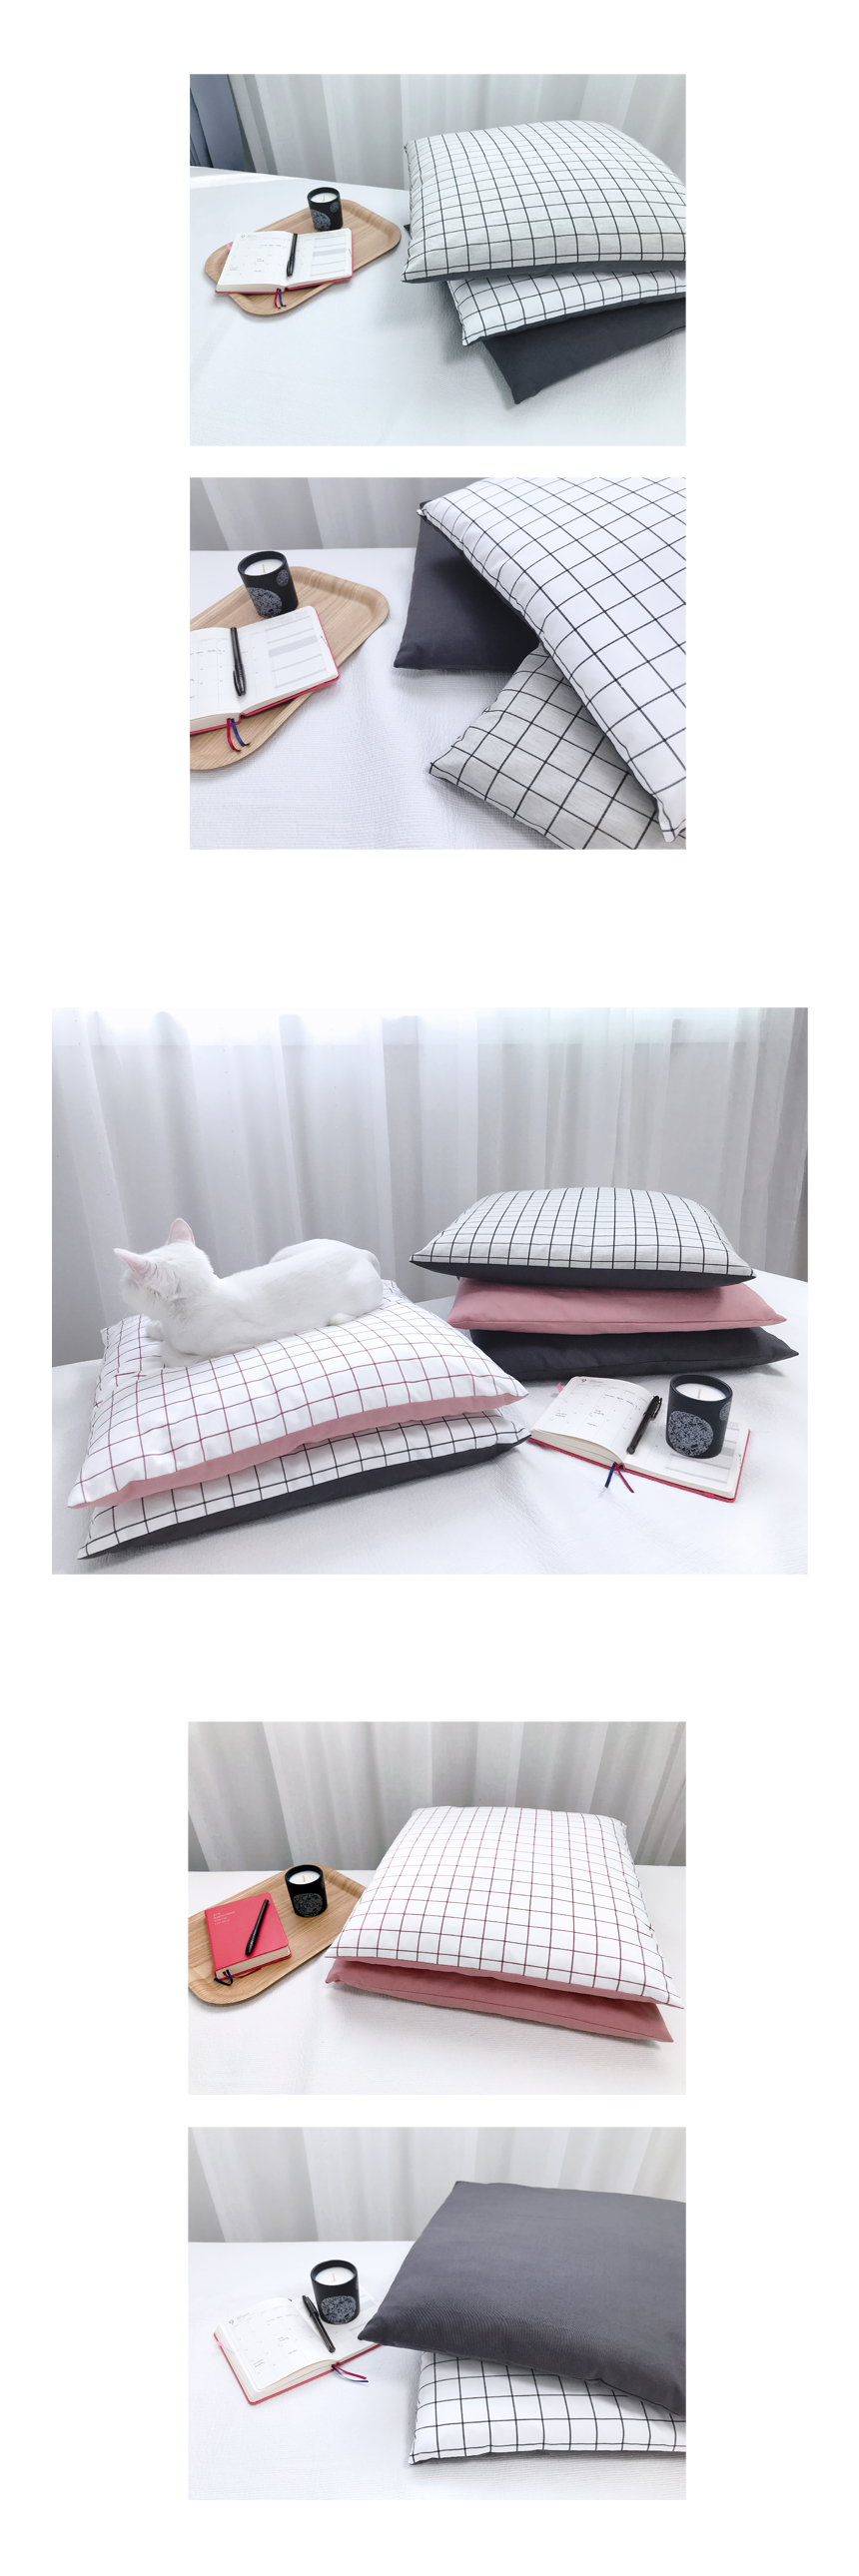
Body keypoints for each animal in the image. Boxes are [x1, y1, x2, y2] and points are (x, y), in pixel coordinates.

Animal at [114, 1219, 383, 1366]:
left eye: (126, 1282)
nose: (121, 1286)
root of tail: (359, 1251)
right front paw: (155, 1329)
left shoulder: (229, 1346)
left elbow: (168, 1353)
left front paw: (172, 1349)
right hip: (282, 1253)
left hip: (360, 1295)